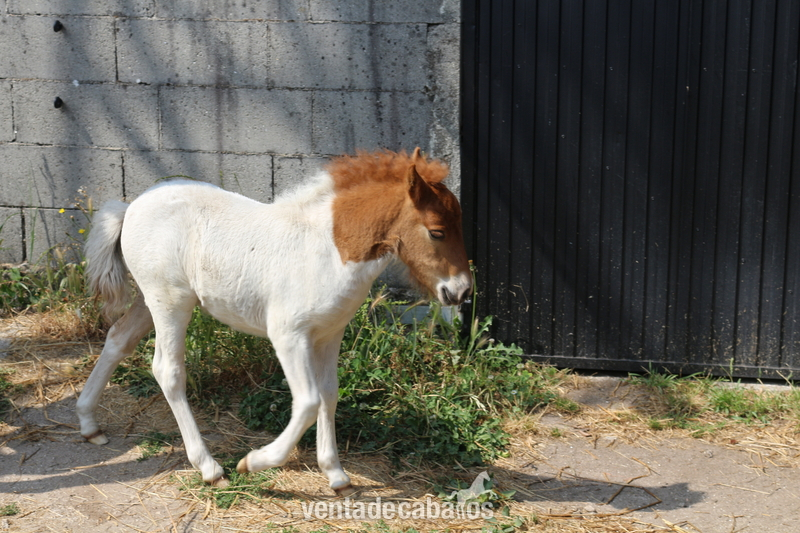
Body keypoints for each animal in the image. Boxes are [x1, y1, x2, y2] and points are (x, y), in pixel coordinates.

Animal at [76, 148, 472, 495]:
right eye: (437, 231)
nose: (462, 291)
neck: (328, 250)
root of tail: (131, 206)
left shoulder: (330, 335)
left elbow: (329, 395)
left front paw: (336, 474)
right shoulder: (288, 336)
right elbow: (309, 401)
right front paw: (254, 462)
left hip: (150, 301)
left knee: (118, 339)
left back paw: (89, 423)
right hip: (170, 302)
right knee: (167, 371)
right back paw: (210, 468)